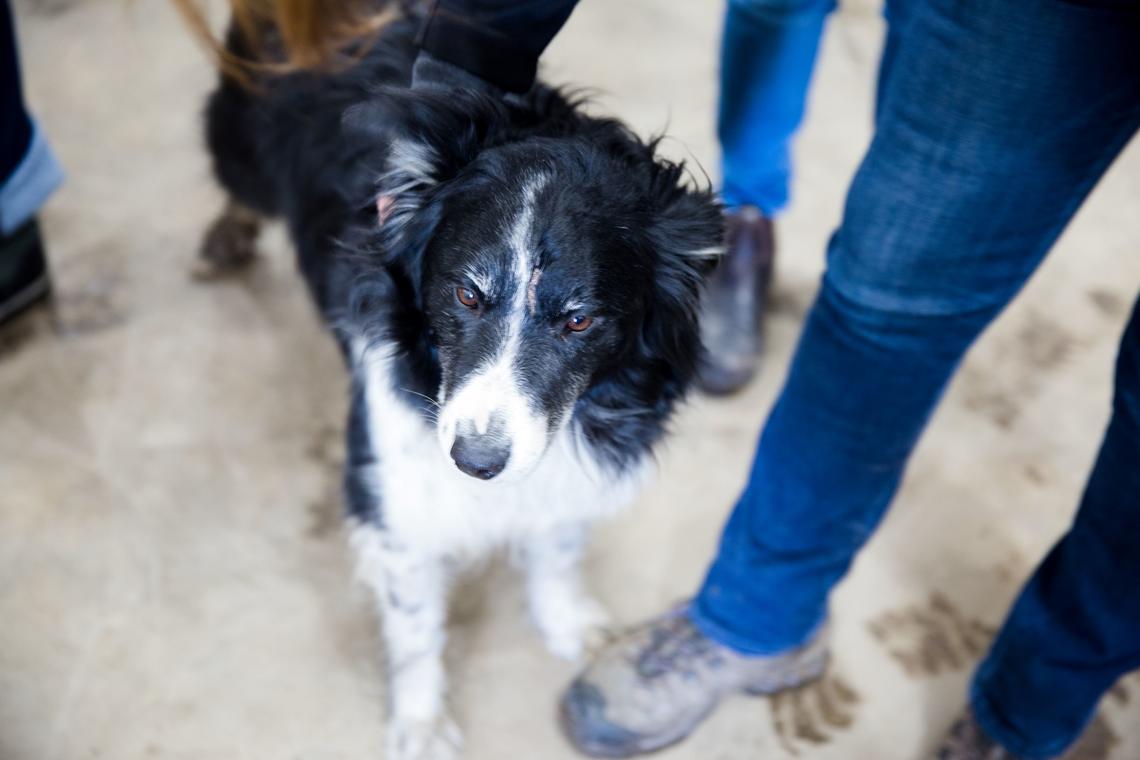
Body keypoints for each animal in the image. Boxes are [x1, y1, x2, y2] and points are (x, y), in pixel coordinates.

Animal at [199, 13, 720, 760]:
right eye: (466, 295)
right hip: (238, 123)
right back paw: (227, 232)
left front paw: (570, 622)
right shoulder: (397, 499)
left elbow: (557, 549)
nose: (476, 463)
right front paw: (420, 724)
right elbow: (417, 627)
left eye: (580, 319)